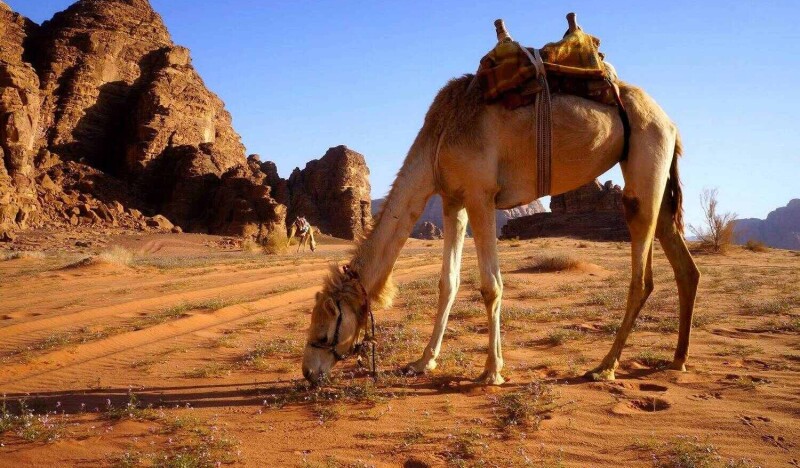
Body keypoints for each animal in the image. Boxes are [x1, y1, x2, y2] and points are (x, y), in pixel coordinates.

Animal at [301, 69, 700, 386]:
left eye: (324, 326)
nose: (308, 371)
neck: (438, 138)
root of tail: (670, 122)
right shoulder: (453, 200)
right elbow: (448, 282)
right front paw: (423, 362)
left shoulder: (481, 194)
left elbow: (490, 285)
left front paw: (492, 371)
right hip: (658, 177)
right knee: (685, 266)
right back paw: (677, 360)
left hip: (644, 163)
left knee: (642, 277)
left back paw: (604, 367)